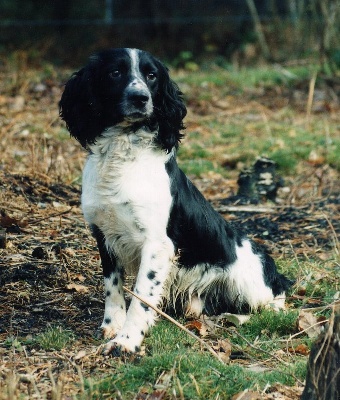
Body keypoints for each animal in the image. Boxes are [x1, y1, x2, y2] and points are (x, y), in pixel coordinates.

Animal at [59, 48, 292, 354]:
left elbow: (141, 298)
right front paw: (112, 325)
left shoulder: (157, 245)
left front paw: (127, 341)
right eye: (115, 73)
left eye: (151, 75)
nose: (140, 98)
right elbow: (113, 287)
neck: (123, 154)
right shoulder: (104, 234)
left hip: (250, 281)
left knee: (275, 296)